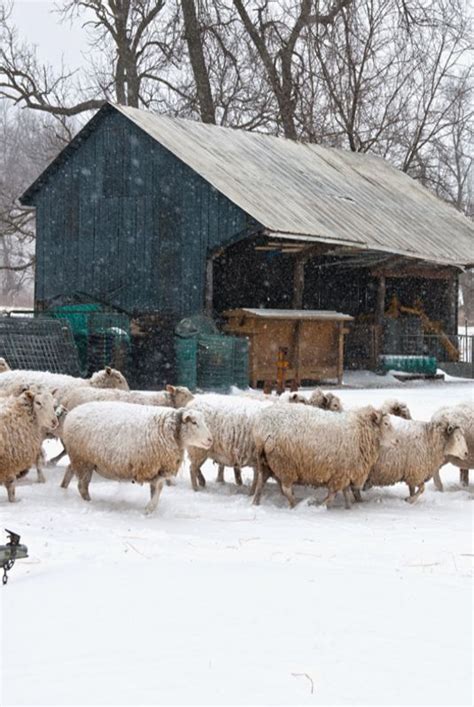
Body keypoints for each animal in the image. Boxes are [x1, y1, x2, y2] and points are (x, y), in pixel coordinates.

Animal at [60, 404, 211, 516]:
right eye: (194, 422)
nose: (210, 440)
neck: (168, 430)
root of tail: (72, 412)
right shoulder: (153, 466)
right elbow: (158, 488)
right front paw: (148, 509)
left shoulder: (158, 468)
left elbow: (158, 489)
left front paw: (151, 508)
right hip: (83, 460)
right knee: (82, 486)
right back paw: (88, 502)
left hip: (79, 459)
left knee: (70, 470)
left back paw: (63, 488)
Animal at [252, 404, 396, 508]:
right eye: (386, 424)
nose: (396, 441)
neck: (360, 431)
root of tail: (262, 430)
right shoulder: (340, 474)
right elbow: (333, 494)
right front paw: (322, 506)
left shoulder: (345, 471)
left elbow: (346, 492)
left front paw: (348, 507)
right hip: (284, 463)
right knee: (285, 488)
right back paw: (294, 504)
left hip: (265, 461)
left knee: (260, 483)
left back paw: (255, 503)